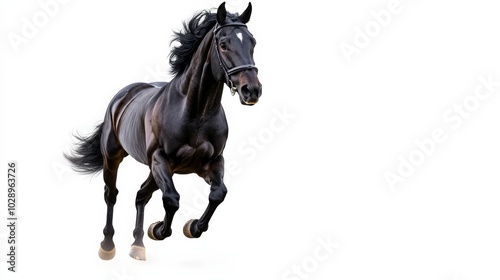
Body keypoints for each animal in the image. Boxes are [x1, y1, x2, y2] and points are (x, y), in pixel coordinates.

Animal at [65, 2, 262, 260]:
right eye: (223, 43)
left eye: (252, 42)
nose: (252, 90)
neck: (196, 113)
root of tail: (123, 96)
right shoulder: (161, 160)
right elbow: (172, 200)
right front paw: (159, 229)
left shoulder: (211, 162)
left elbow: (218, 193)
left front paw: (192, 227)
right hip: (114, 157)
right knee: (112, 194)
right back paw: (107, 246)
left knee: (141, 195)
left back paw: (138, 245)